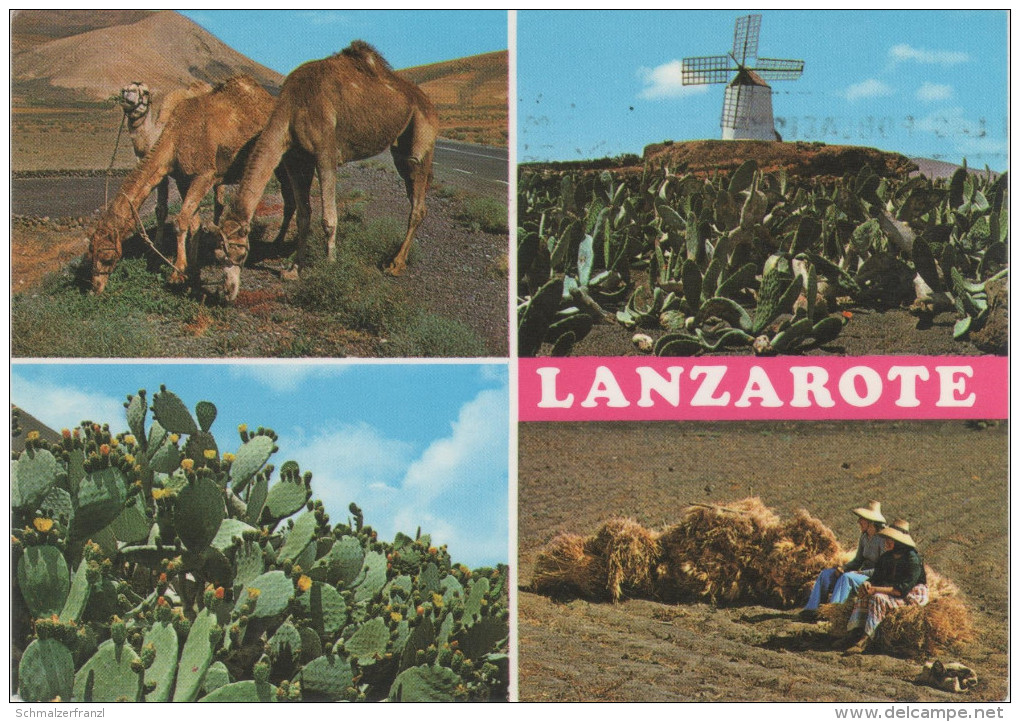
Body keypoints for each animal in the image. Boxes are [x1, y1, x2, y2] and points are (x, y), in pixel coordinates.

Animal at [117, 79, 213, 238]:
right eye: (124, 89)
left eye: (145, 92)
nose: (128, 92)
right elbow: (161, 209)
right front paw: (156, 243)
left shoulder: (184, 175)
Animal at [213, 40, 436, 299]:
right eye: (218, 254)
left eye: (238, 253)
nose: (225, 292)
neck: (293, 107)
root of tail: (429, 104)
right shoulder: (296, 159)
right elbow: (303, 215)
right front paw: (293, 270)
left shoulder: (325, 153)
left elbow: (328, 218)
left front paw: (331, 268)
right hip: (400, 151)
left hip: (421, 136)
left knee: (417, 200)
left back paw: (395, 265)